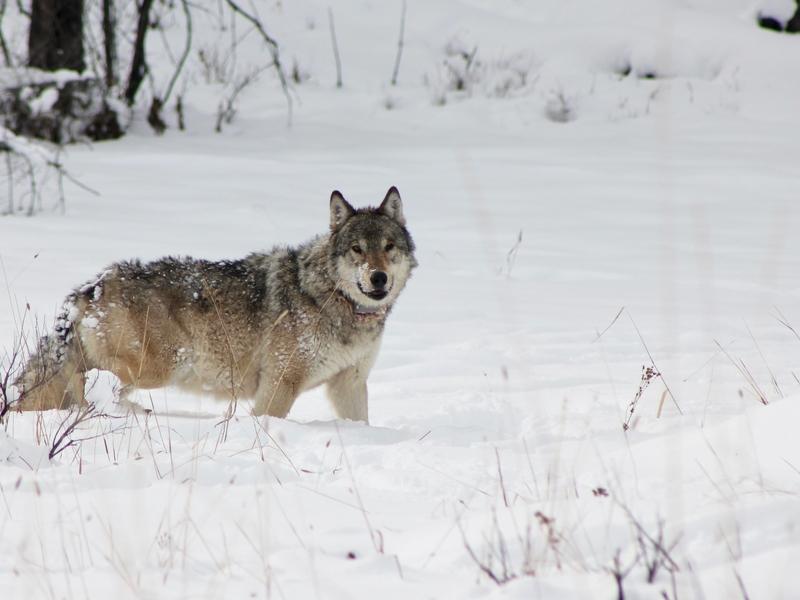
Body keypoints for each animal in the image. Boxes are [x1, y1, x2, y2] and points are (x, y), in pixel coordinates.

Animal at [14, 188, 418, 422]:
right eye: (357, 250)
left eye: (388, 247)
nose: (378, 278)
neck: (334, 300)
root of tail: (92, 287)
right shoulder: (279, 385)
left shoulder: (350, 383)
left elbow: (361, 423)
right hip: (162, 366)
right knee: (101, 389)